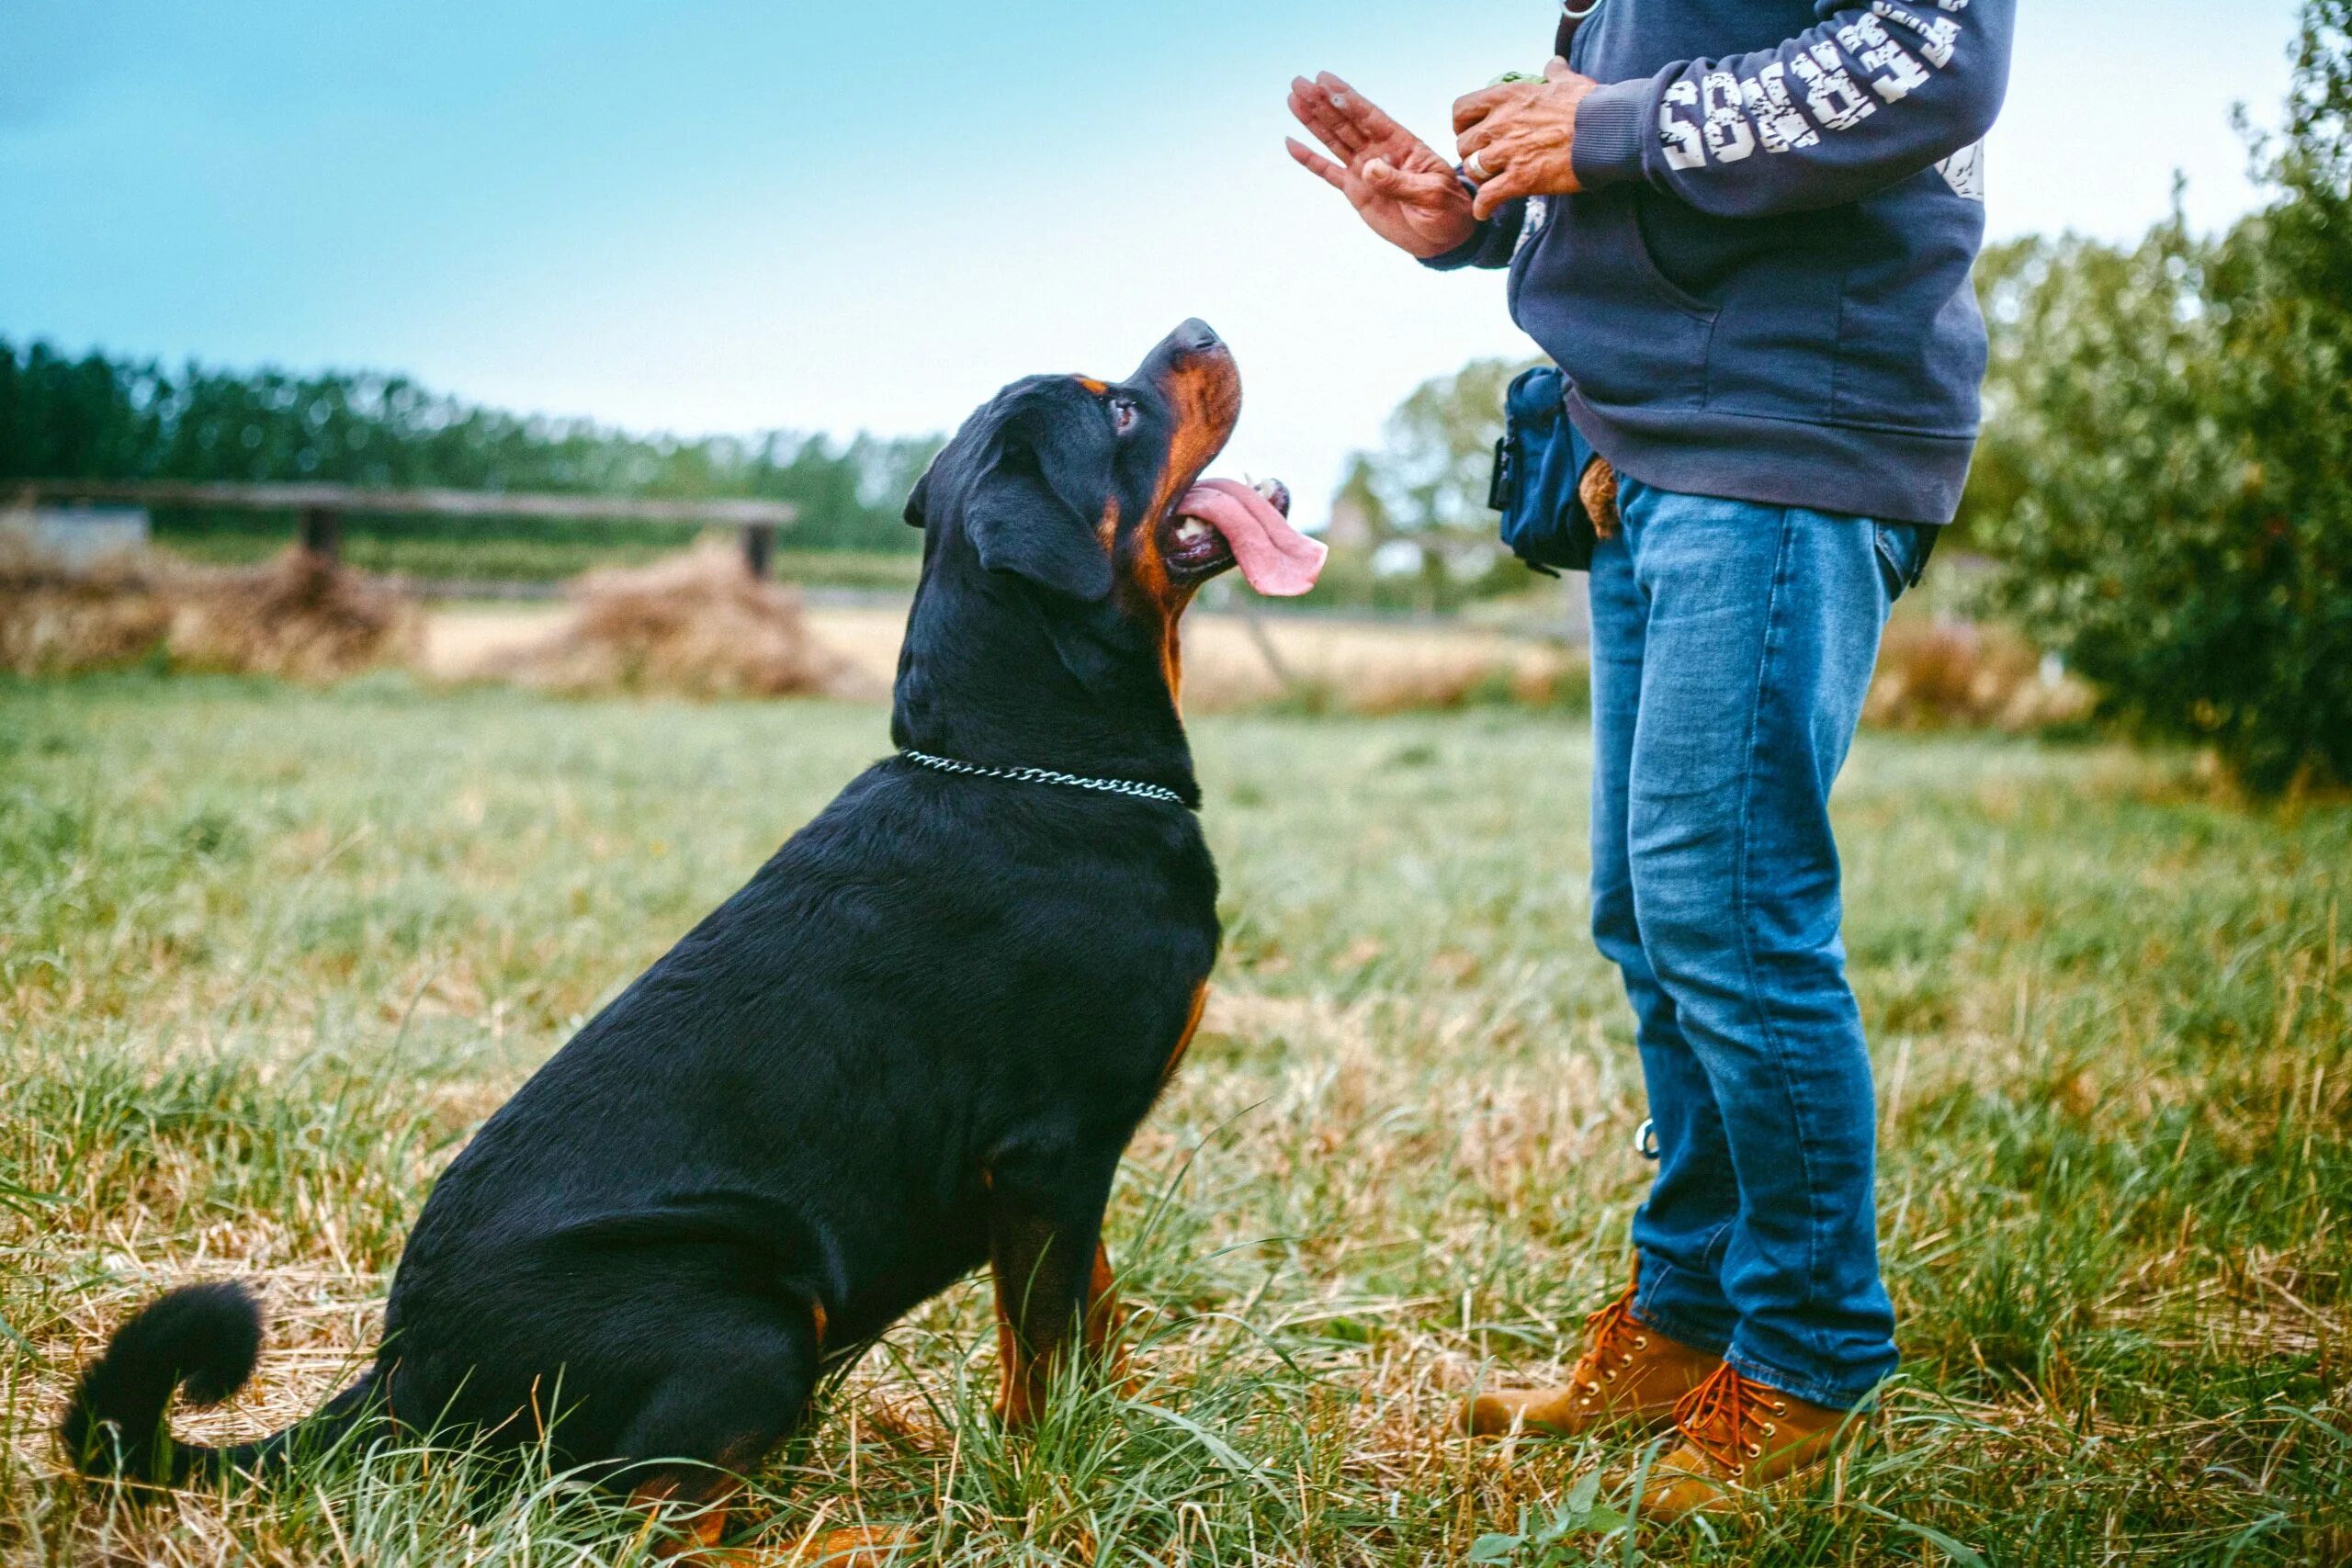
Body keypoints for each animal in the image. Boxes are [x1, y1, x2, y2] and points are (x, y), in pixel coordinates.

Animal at [59, 320, 1326, 1541]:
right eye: (1119, 412)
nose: (1200, 324)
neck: (1030, 758)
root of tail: (402, 1374)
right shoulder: (1049, 1156)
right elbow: (1046, 1356)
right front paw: (1059, 1482)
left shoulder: (1072, 1174)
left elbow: (1097, 1328)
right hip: (745, 1313)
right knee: (637, 1519)